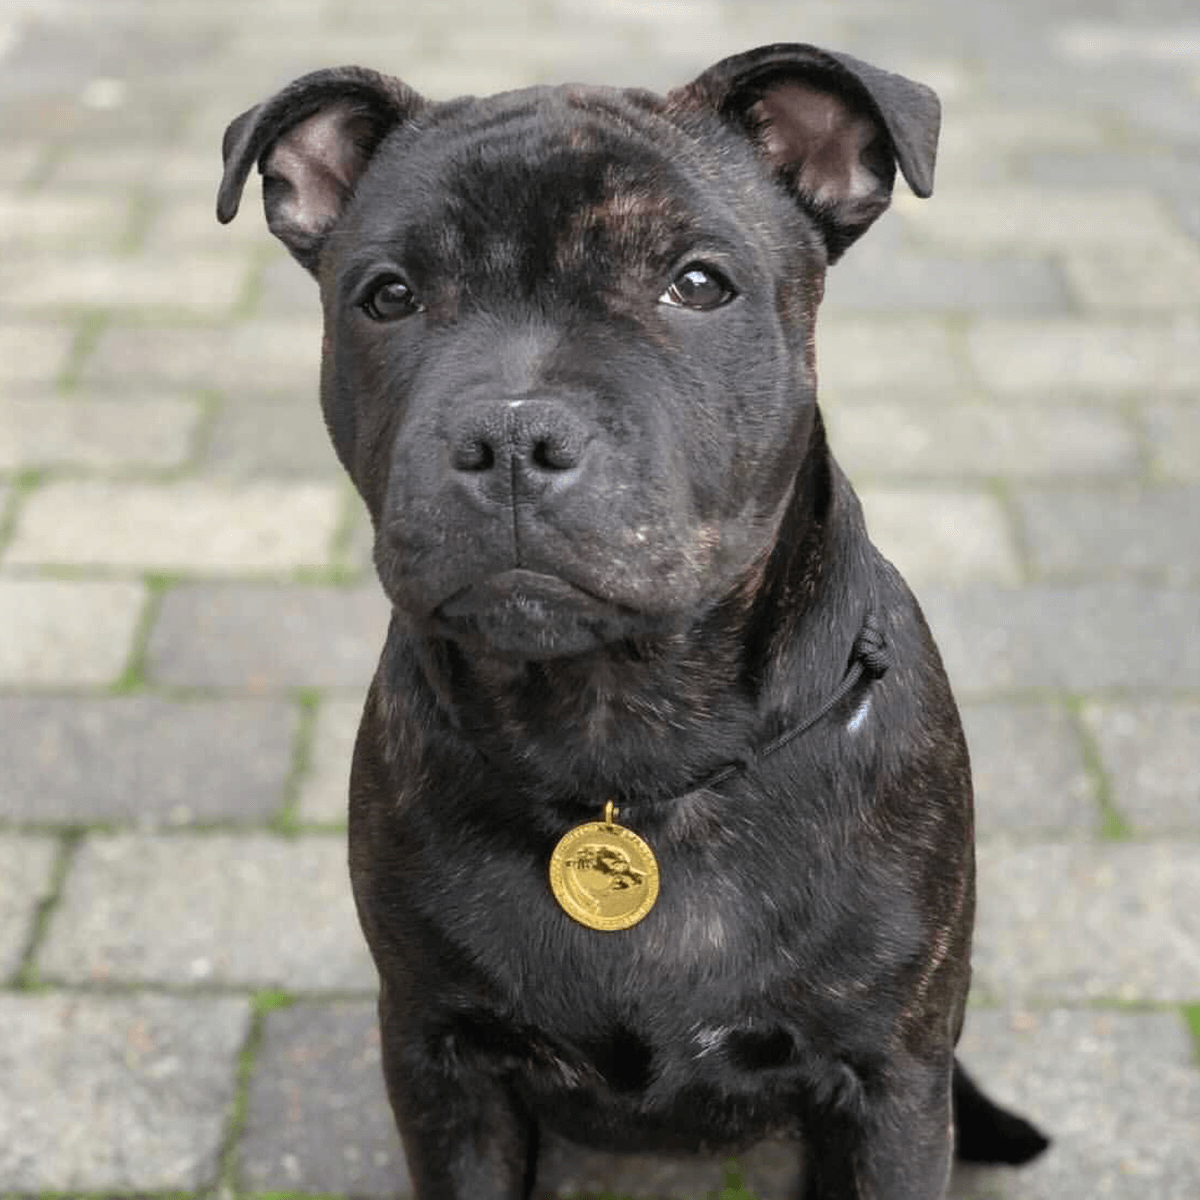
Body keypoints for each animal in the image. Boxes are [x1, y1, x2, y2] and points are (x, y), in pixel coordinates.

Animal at [220, 44, 1046, 1200]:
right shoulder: (440, 1061)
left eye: (696, 284)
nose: (510, 435)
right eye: (387, 297)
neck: (620, 733)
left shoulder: (888, 1083)